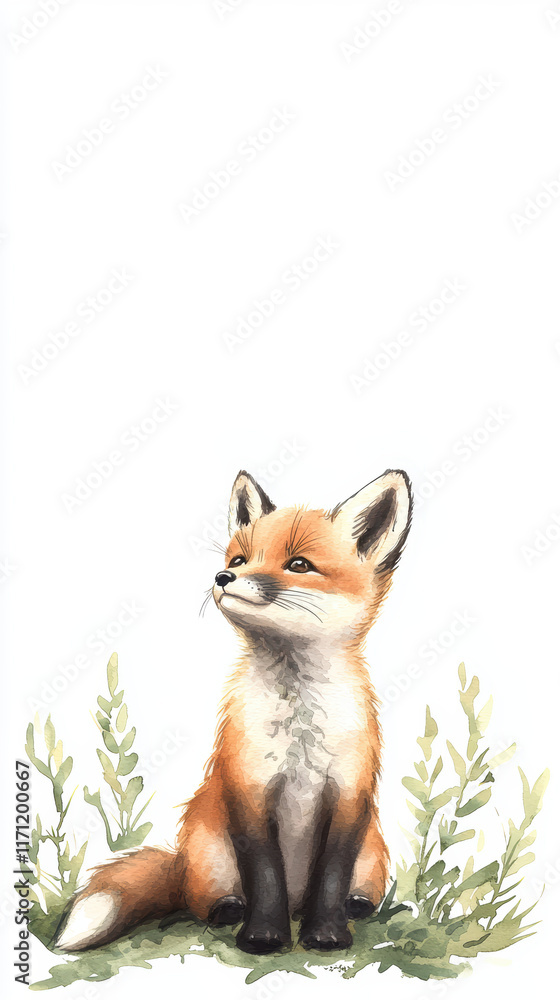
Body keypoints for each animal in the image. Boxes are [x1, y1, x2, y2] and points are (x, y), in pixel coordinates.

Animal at [55, 468, 412, 955]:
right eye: (241, 559)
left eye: (299, 564)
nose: (224, 576)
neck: (298, 728)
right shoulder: (250, 789)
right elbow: (264, 875)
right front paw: (263, 937)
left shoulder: (348, 795)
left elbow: (331, 876)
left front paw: (326, 935)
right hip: (208, 855)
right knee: (202, 899)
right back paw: (229, 911)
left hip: (372, 851)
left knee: (351, 891)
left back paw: (354, 907)